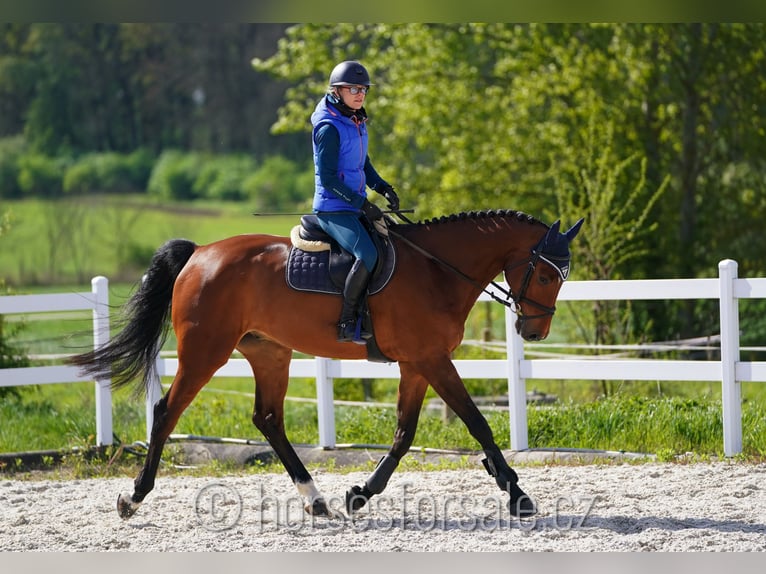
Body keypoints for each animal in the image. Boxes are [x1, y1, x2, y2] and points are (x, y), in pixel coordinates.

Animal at [73, 210, 588, 520]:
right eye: (546, 275)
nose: (534, 333)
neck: (437, 270)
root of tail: (199, 254)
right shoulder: (432, 359)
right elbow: (477, 423)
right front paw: (518, 494)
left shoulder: (417, 364)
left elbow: (404, 434)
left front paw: (360, 492)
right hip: (205, 352)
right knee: (167, 412)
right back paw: (132, 497)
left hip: (269, 352)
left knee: (268, 418)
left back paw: (316, 500)